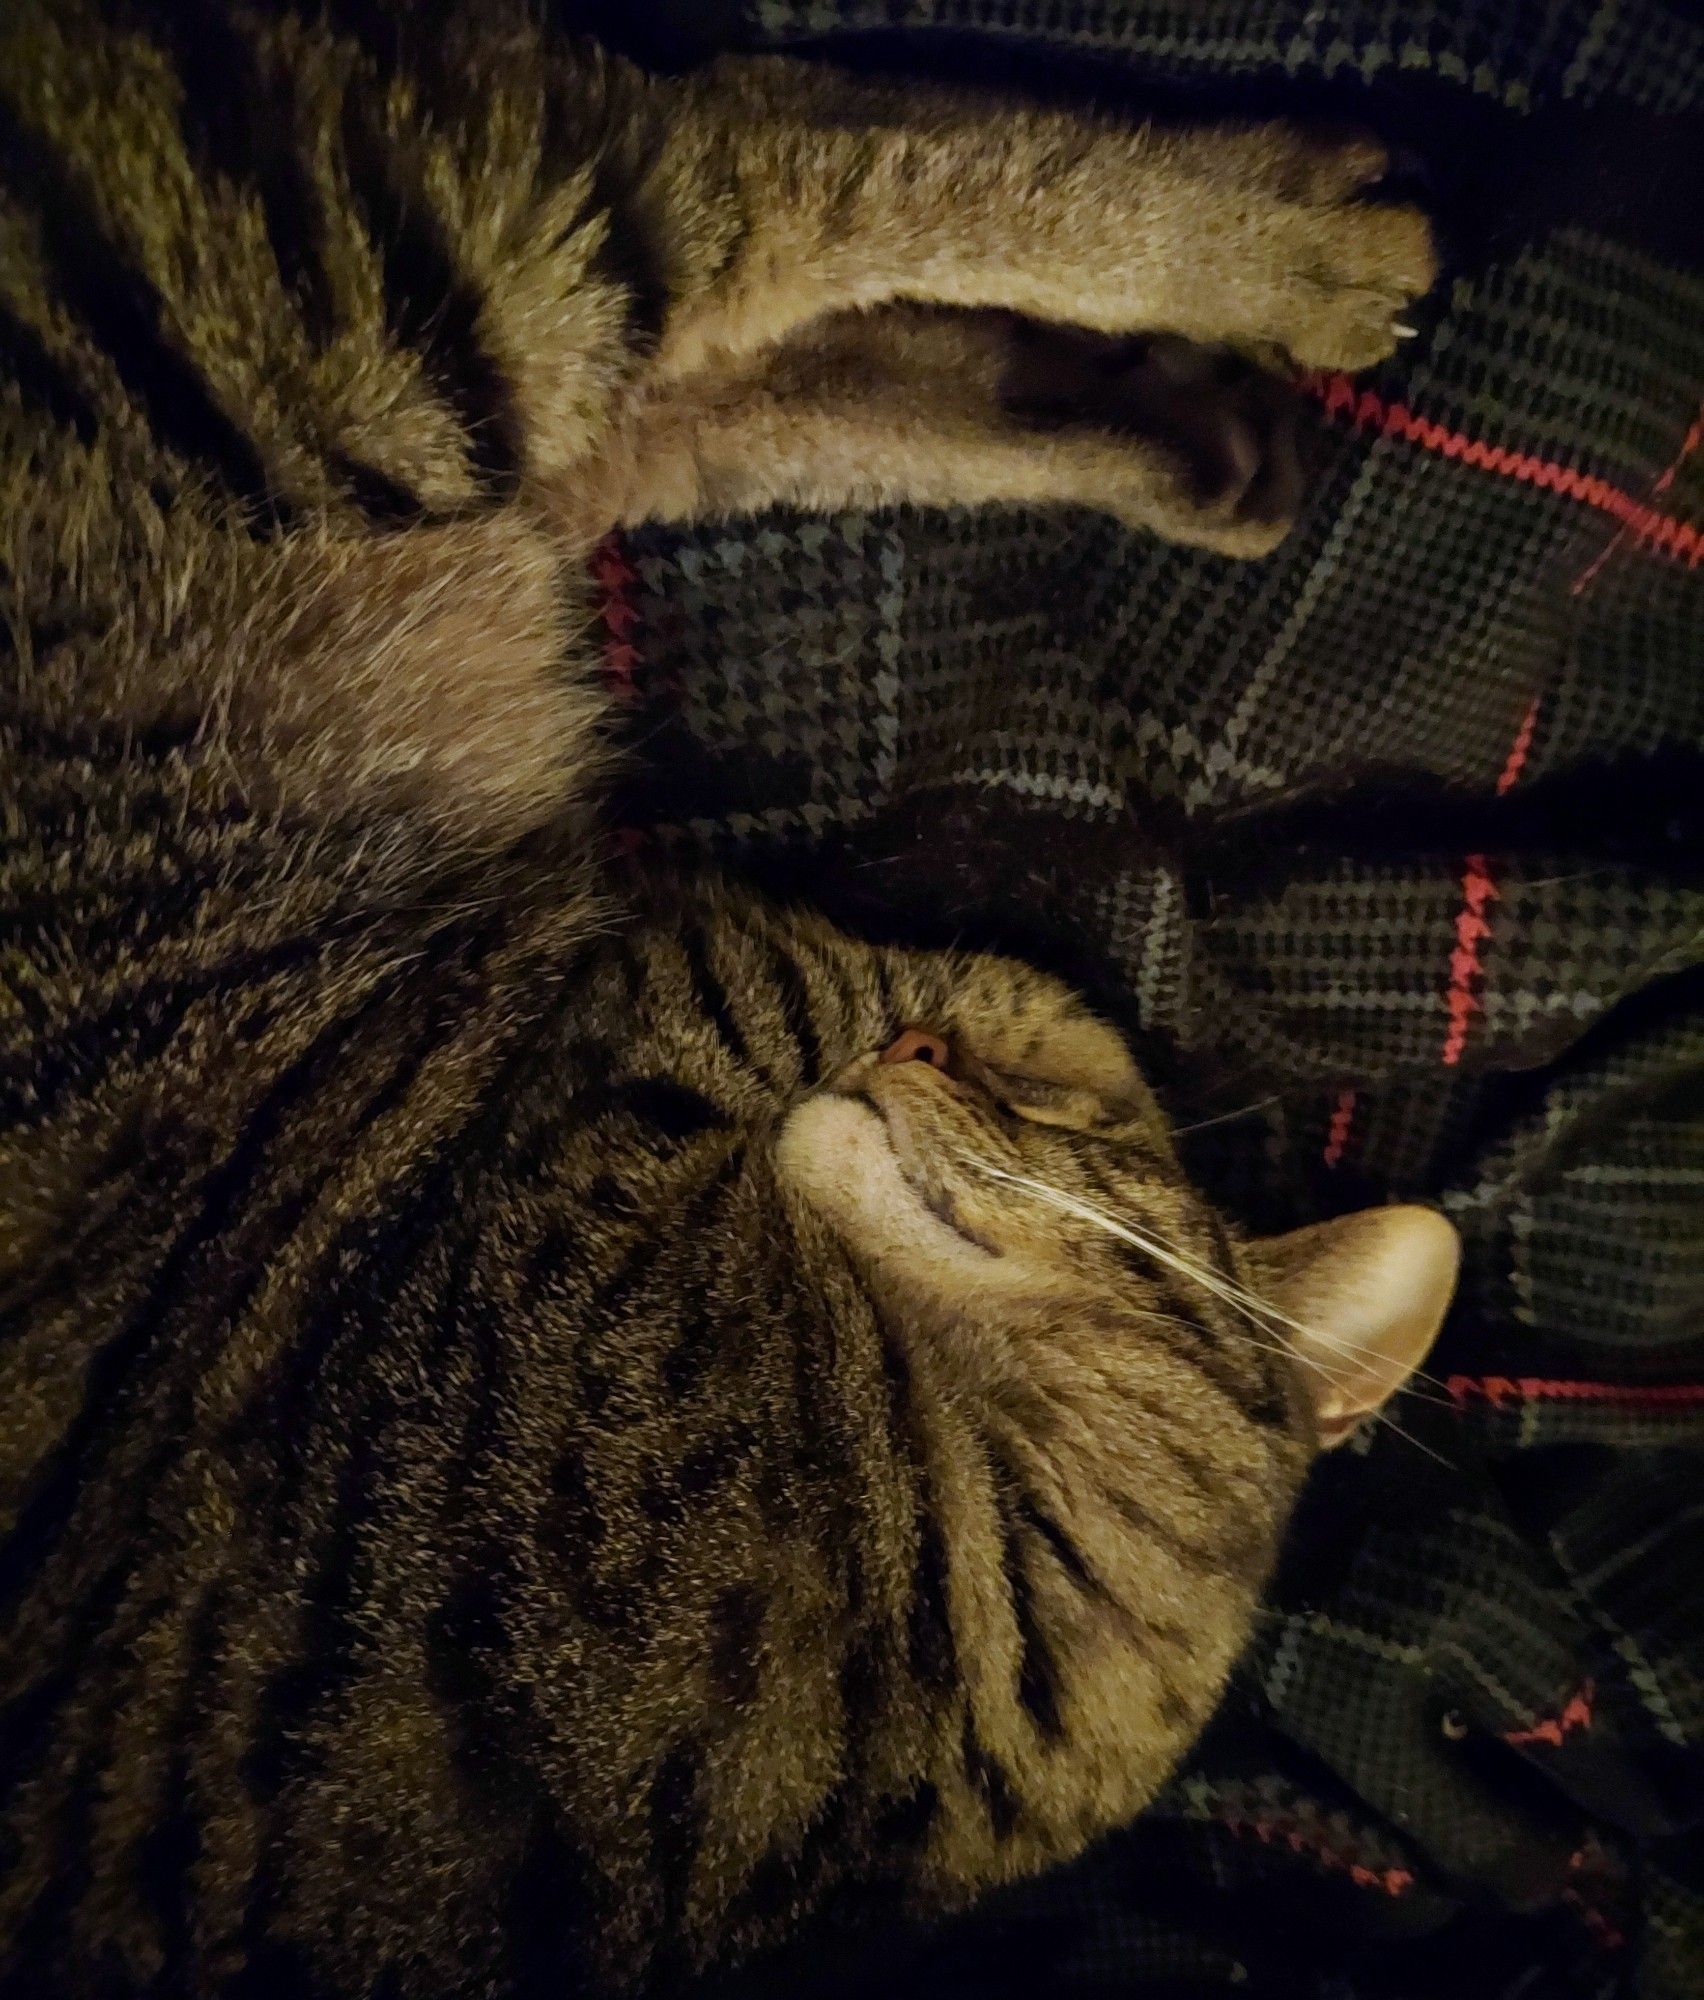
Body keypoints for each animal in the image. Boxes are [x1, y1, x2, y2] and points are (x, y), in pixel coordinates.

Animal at [3, 7, 1464, 1992]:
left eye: (1058, 1092)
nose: (918, 1050)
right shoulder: (648, 1015)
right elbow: (781, 961)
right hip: (363, 292)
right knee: (789, 159)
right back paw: (1276, 258)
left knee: (748, 324)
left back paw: (1190, 418)